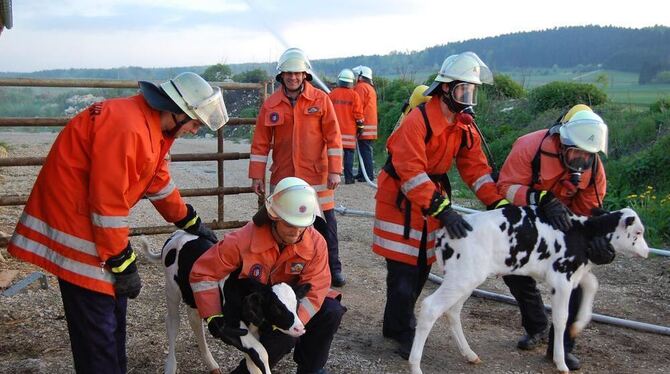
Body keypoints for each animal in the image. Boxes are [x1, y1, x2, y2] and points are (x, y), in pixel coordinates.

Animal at [140, 231, 312, 374]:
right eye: (277, 307)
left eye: (297, 304)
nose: (300, 328)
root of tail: (177, 234)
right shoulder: (233, 325)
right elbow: (261, 352)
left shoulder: (251, 331)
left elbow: (253, 361)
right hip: (172, 290)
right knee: (172, 323)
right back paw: (171, 366)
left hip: (193, 297)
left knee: (195, 321)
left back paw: (212, 364)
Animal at [410, 206, 652, 372]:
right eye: (638, 232)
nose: (648, 251)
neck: (581, 232)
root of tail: (445, 231)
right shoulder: (561, 278)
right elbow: (561, 318)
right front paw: (560, 362)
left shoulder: (575, 273)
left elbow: (593, 284)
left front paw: (579, 325)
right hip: (462, 278)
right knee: (430, 308)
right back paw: (416, 366)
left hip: (466, 280)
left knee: (452, 311)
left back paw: (469, 354)